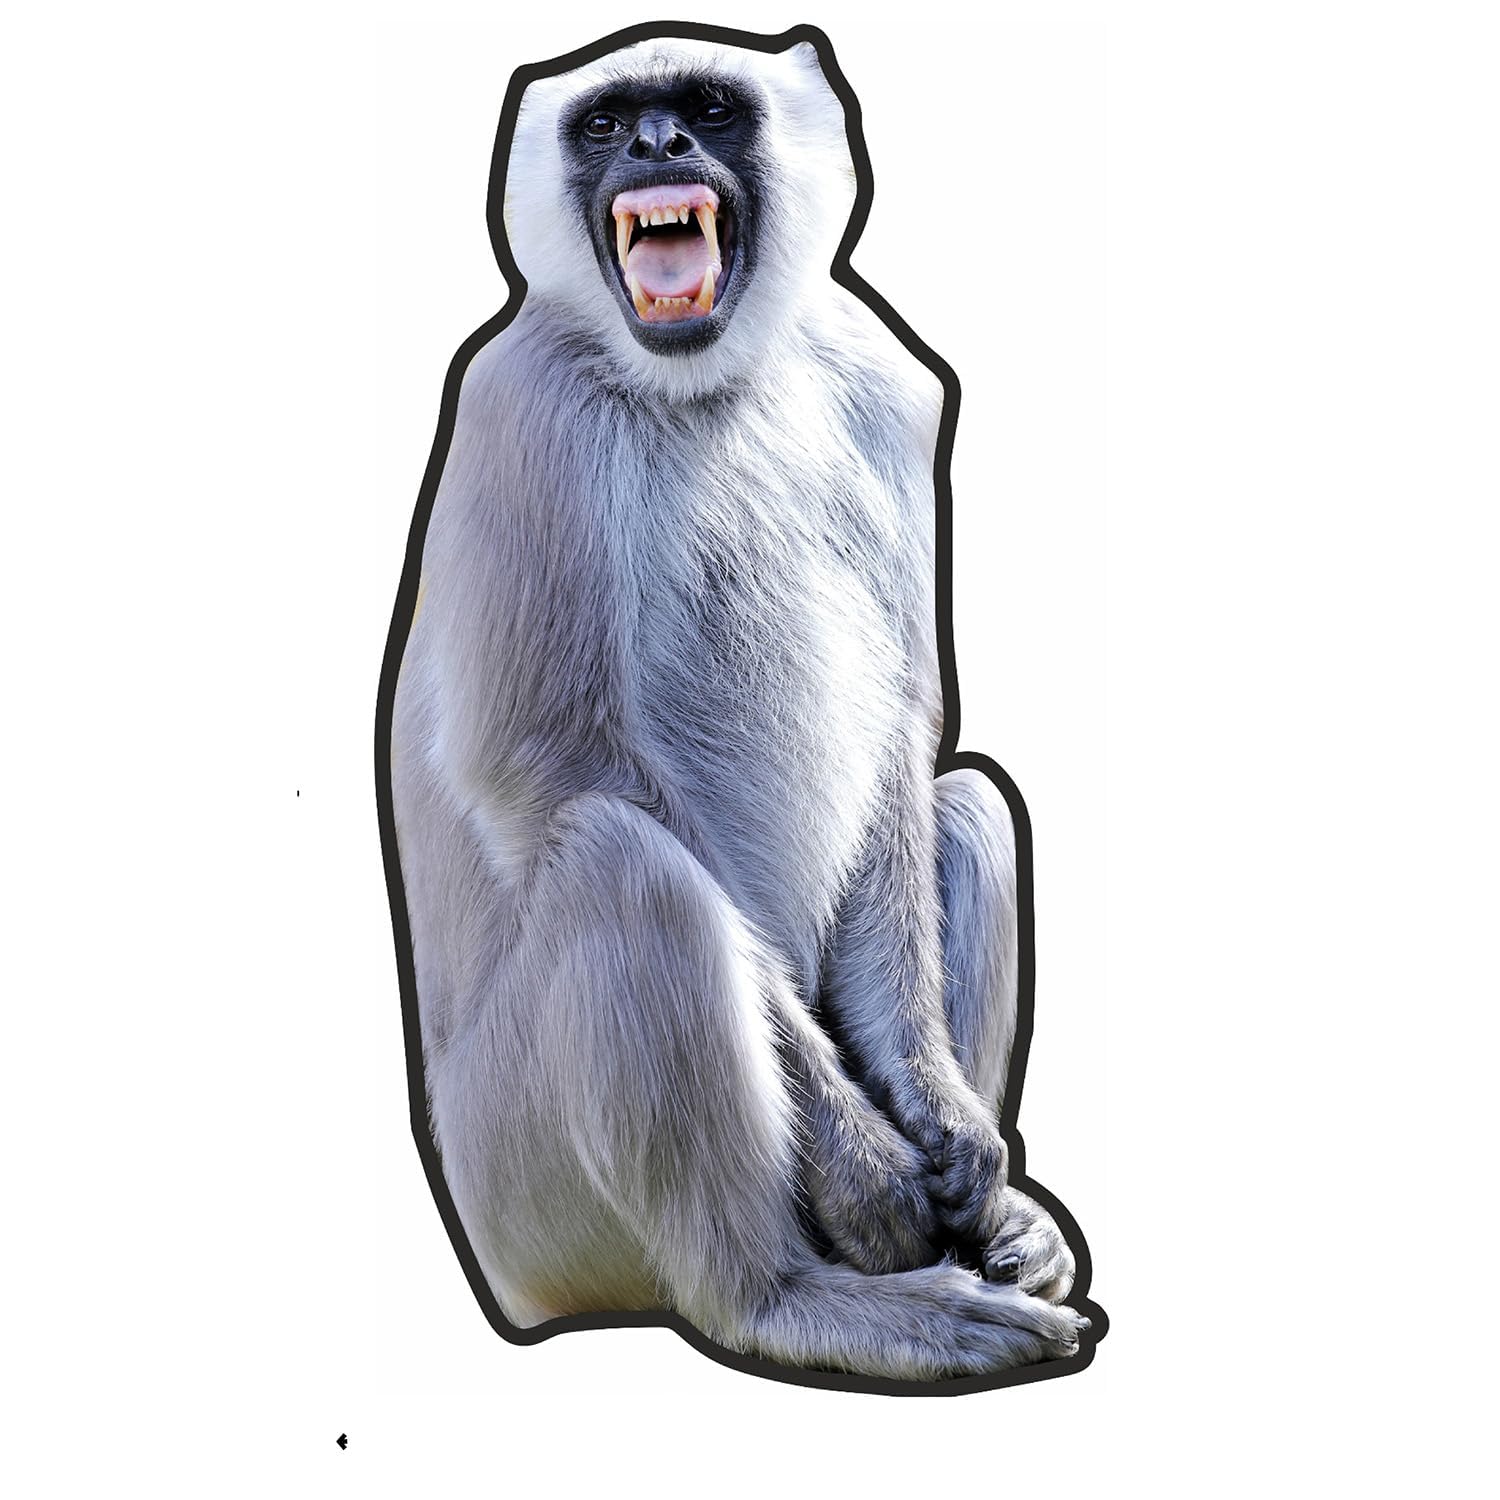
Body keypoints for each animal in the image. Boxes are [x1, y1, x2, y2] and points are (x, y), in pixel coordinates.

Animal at [384, 30, 1097, 1383]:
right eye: (609, 123)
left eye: (707, 108)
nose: (660, 146)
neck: (696, 384)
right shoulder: (520, 404)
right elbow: (547, 768)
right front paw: (873, 1175)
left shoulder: (880, 384)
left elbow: (904, 736)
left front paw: (947, 1127)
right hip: (526, 1183)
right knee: (620, 860)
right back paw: (792, 1297)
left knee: (969, 807)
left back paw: (1000, 1225)